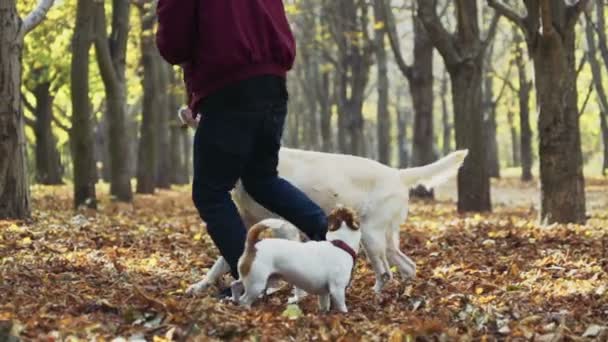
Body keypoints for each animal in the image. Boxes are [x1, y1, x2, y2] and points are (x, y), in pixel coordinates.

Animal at [188, 147, 468, 294]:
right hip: (383, 241)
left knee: (386, 273)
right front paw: (199, 287)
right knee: (407, 267)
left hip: (370, 236)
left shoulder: (287, 229)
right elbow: (221, 263)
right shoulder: (248, 227)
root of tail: (397, 174)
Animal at [230, 207, 358, 314]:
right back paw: (246, 310)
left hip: (256, 279)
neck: (340, 244)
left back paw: (235, 299)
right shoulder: (337, 290)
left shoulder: (324, 294)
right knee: (245, 300)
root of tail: (253, 245)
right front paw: (344, 315)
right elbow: (342, 307)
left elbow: (324, 305)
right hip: (257, 284)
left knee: (235, 285)